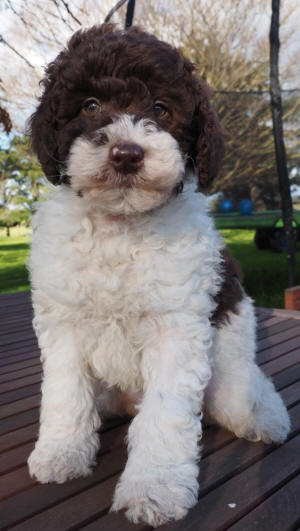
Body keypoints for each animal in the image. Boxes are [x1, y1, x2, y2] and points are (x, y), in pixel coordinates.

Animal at [27, 23, 290, 528]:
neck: (121, 224)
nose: (126, 154)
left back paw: (265, 416)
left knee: (243, 388)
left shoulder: (176, 329)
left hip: (228, 367)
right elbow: (64, 393)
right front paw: (61, 452)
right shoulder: (64, 323)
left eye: (161, 110)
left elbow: (165, 415)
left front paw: (154, 489)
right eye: (90, 106)